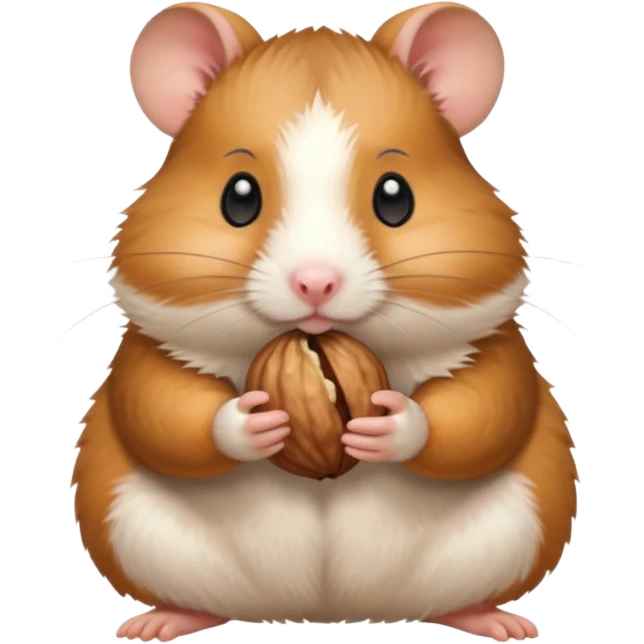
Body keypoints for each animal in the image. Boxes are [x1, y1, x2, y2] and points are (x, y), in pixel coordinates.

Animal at [71, 2, 579, 642]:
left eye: (396, 197)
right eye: (238, 197)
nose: (316, 283)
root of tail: (325, 611)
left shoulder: (496, 346)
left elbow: (484, 412)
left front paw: (386, 425)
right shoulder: (146, 351)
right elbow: (162, 410)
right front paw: (255, 422)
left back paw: (497, 621)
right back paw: (158, 622)